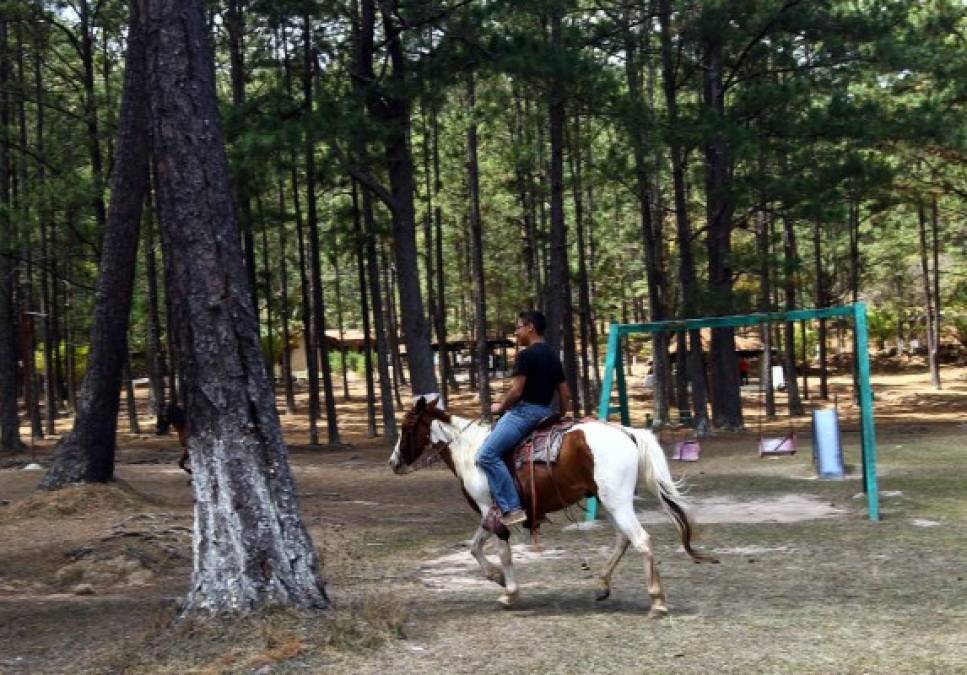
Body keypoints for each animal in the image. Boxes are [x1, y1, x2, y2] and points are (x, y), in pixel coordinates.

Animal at [388, 394, 720, 620]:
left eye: (406, 426)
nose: (393, 462)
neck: (471, 452)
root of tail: (627, 433)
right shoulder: (488, 514)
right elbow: (474, 546)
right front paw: (497, 578)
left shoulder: (491, 510)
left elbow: (502, 551)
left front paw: (509, 593)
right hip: (610, 501)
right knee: (623, 539)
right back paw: (602, 584)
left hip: (616, 500)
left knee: (641, 540)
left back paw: (657, 601)